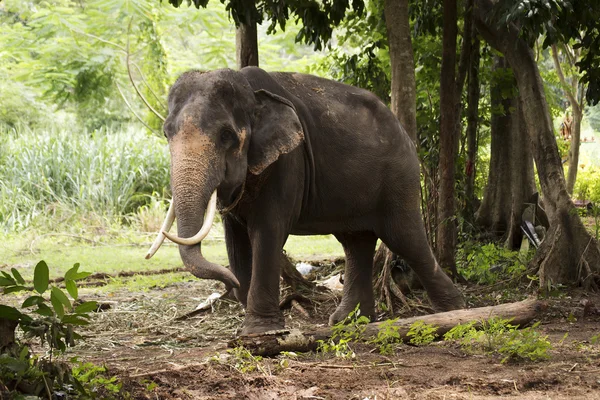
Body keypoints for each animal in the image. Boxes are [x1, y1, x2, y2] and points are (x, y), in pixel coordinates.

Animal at [145, 67, 464, 336]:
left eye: (226, 135)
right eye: (166, 133)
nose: (231, 285)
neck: (250, 91)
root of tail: (405, 133)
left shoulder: (289, 163)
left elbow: (267, 232)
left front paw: (260, 332)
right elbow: (235, 240)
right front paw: (250, 318)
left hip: (399, 178)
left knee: (404, 237)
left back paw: (452, 314)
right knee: (356, 242)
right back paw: (348, 323)